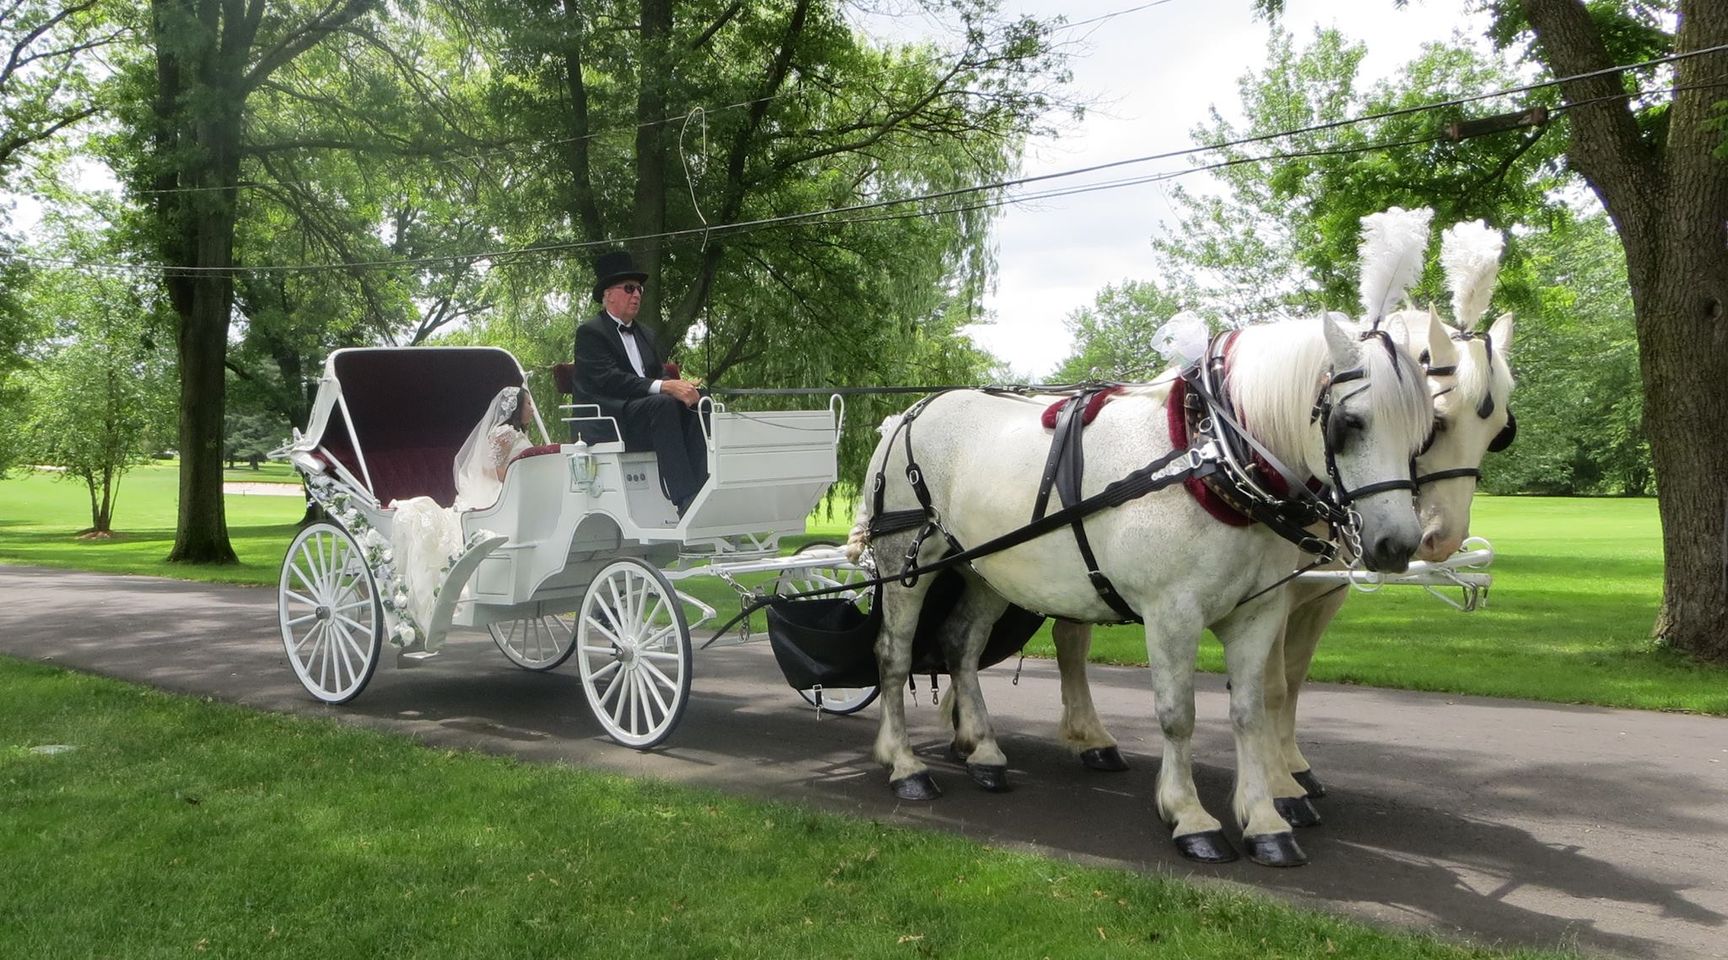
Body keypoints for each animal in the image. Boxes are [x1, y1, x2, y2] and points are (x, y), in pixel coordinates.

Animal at [850, 317, 1430, 870]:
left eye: (1422, 434)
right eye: (1350, 423)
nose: (1397, 544)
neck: (1208, 456)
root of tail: (908, 413)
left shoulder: (1259, 612)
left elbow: (1248, 712)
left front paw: (1265, 821)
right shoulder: (1172, 613)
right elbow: (1178, 715)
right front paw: (1190, 816)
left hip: (984, 569)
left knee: (962, 646)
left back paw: (985, 752)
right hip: (906, 559)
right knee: (894, 654)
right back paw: (904, 764)